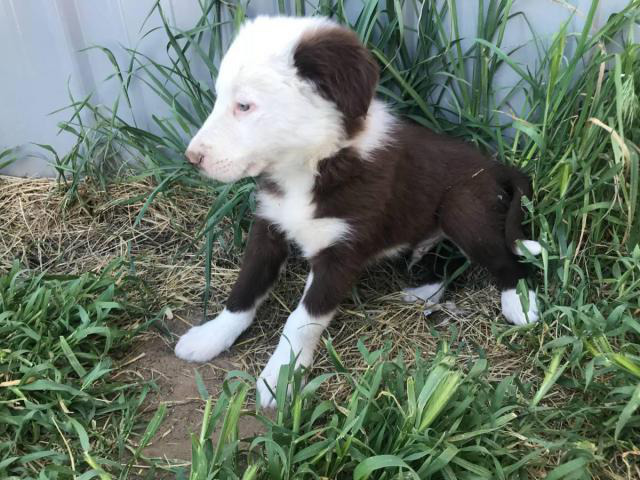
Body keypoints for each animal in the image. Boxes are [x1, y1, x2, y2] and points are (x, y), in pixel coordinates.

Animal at [174, 15, 540, 404]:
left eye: (244, 106)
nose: (192, 158)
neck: (311, 165)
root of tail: (496, 166)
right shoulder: (268, 227)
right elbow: (245, 288)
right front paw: (211, 336)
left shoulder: (341, 253)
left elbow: (300, 320)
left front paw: (280, 377)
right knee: (447, 259)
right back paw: (423, 291)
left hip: (462, 205)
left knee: (506, 260)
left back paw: (519, 303)